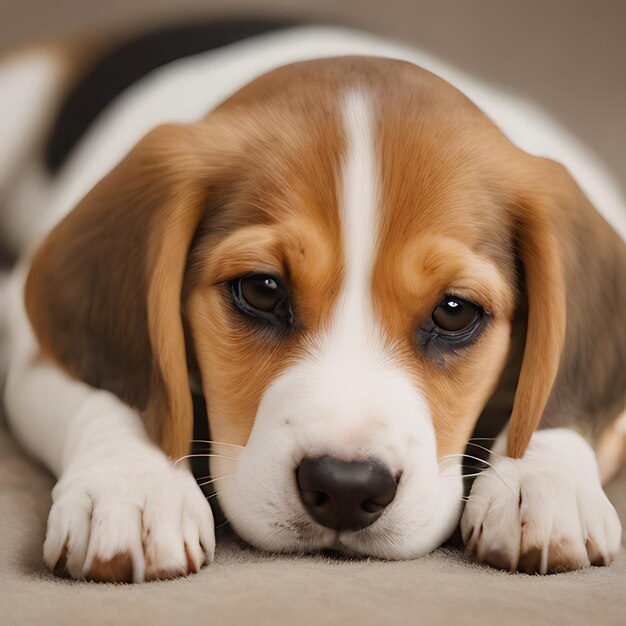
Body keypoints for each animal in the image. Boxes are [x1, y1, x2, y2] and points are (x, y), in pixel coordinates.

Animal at [1, 20, 624, 584]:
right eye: (261, 289)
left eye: (455, 312)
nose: (346, 488)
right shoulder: (29, 345)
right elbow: (121, 396)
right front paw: (133, 487)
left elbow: (555, 401)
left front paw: (542, 484)